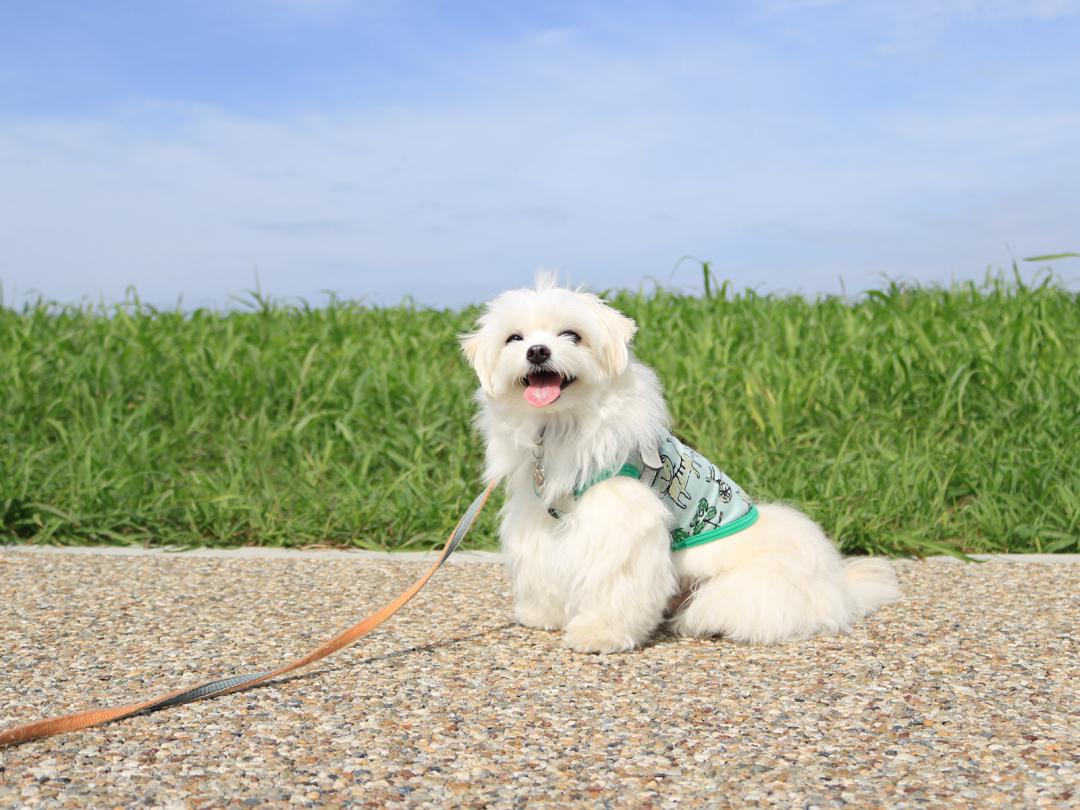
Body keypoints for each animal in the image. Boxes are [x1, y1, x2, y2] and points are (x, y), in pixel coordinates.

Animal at [460, 276, 898, 656]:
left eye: (572, 335)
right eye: (514, 339)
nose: (537, 351)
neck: (560, 428)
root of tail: (837, 590)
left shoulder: (620, 520)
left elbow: (614, 581)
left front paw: (599, 633)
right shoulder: (538, 516)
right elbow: (542, 566)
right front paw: (543, 613)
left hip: (746, 586)